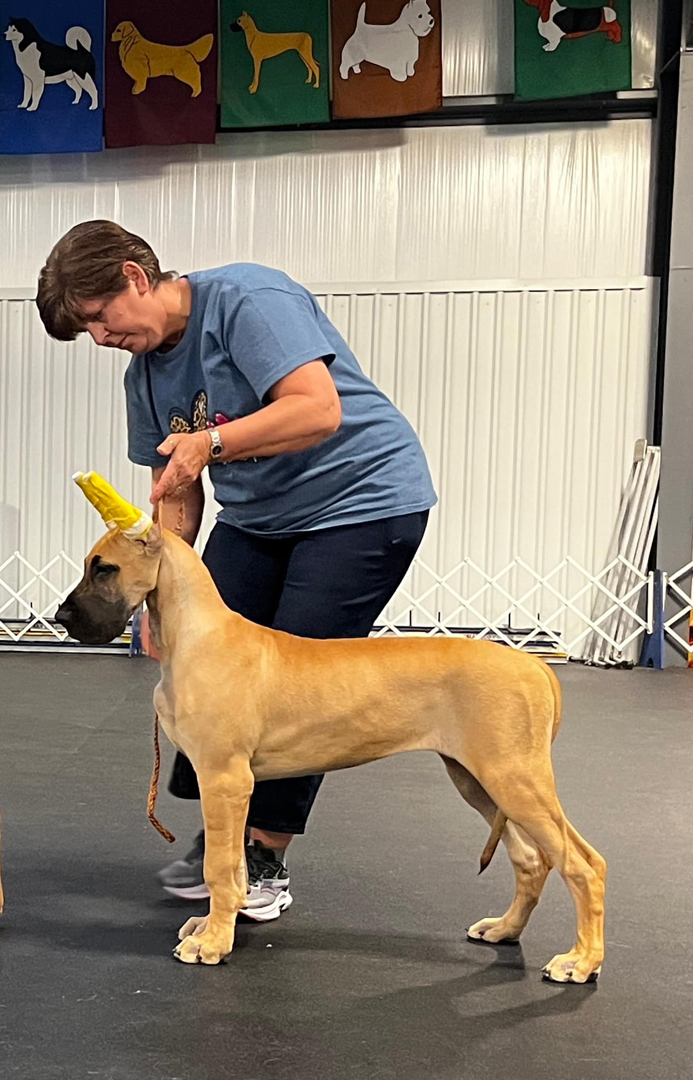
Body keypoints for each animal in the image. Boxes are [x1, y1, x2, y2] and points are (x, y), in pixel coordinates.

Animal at [57, 471, 606, 984]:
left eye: (105, 569)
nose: (62, 617)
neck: (195, 634)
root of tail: (534, 666)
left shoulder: (223, 779)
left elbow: (218, 868)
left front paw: (213, 942)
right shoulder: (233, 788)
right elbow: (232, 864)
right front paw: (215, 924)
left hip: (515, 779)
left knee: (583, 864)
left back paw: (581, 961)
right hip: (477, 779)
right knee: (532, 859)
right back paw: (505, 929)